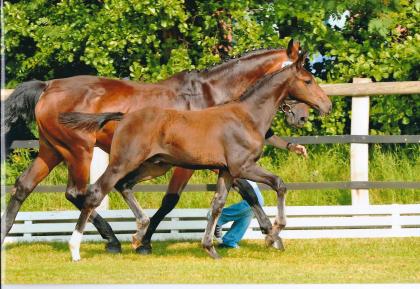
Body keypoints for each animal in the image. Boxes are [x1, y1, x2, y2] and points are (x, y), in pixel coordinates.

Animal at [1, 38, 306, 250]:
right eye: (305, 78)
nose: (301, 117)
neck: (210, 94)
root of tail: (48, 86)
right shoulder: (197, 163)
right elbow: (174, 200)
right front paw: (144, 241)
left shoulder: (220, 162)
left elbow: (247, 194)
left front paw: (270, 235)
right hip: (79, 150)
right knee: (78, 192)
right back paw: (112, 240)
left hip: (51, 150)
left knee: (24, 186)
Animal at [61, 53, 332, 260]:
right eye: (308, 80)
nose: (326, 106)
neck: (247, 115)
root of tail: (124, 116)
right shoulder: (242, 167)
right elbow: (279, 184)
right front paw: (274, 233)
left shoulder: (226, 171)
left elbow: (217, 205)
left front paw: (210, 247)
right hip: (123, 162)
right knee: (96, 192)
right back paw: (77, 248)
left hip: (155, 165)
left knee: (123, 185)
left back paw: (138, 233)